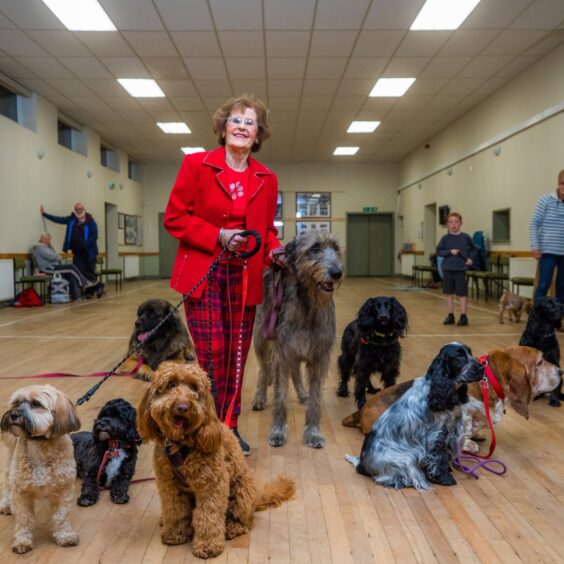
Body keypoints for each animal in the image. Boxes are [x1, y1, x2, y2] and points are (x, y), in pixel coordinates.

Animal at [0, 386, 81, 552]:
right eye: (16, 402)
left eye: (36, 404)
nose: (13, 414)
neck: (40, 443)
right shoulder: (21, 492)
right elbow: (24, 518)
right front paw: (22, 541)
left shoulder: (63, 490)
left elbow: (61, 516)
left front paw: (65, 536)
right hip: (10, 465)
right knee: (6, 482)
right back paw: (5, 504)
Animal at [138, 364, 296, 556]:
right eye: (171, 384)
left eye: (194, 387)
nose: (182, 407)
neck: (181, 445)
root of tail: (258, 495)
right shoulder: (169, 485)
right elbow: (175, 510)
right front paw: (175, 533)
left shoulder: (212, 485)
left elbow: (208, 515)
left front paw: (208, 544)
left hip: (241, 494)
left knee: (244, 520)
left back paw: (232, 527)